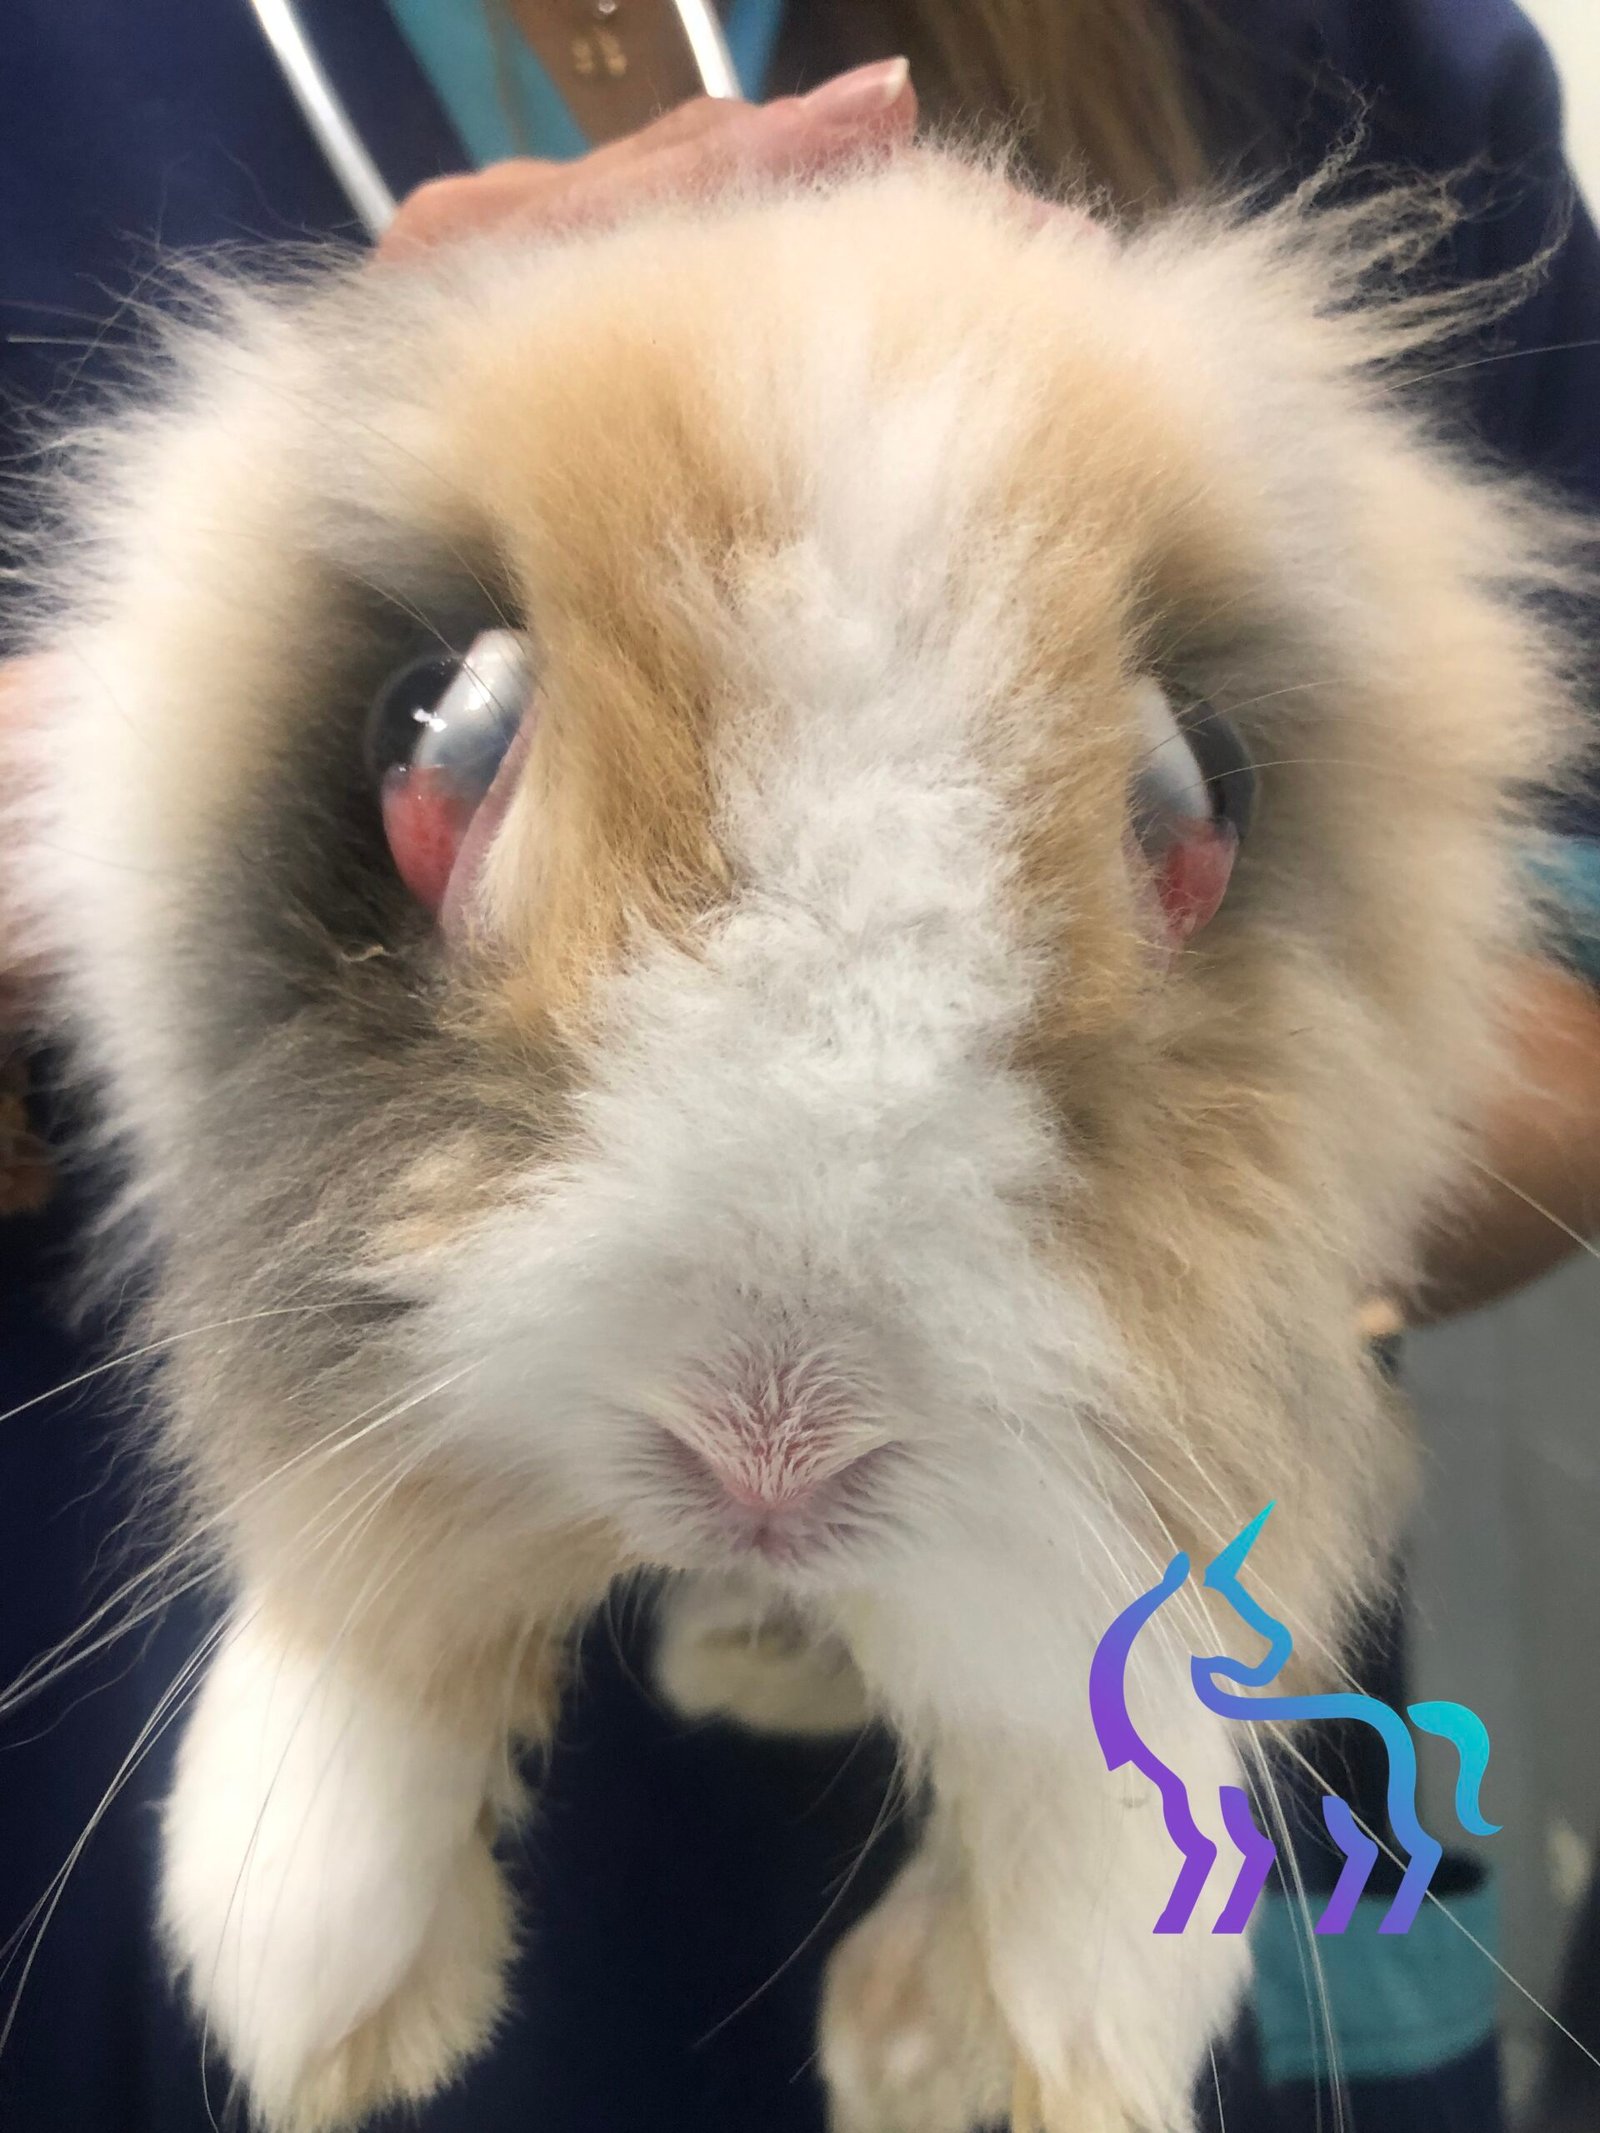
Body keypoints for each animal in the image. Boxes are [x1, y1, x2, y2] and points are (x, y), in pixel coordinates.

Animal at [9, 146, 1588, 2133]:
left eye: (1204, 797)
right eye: (434, 737)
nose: (769, 1456)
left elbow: (1113, 1667)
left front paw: (1085, 2008)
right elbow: (360, 1586)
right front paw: (309, 1971)